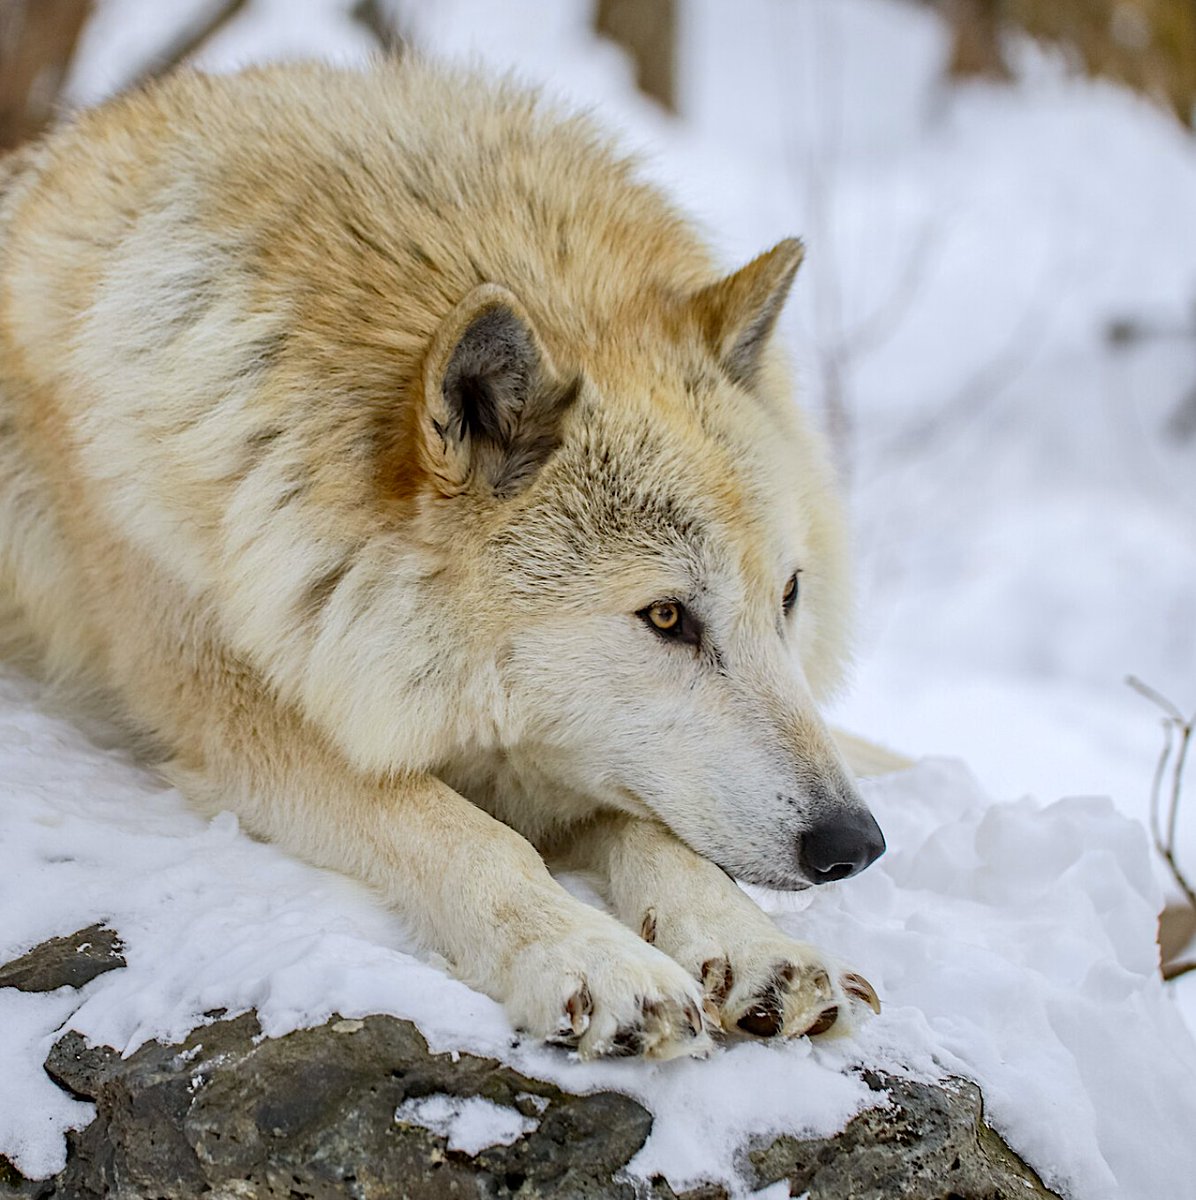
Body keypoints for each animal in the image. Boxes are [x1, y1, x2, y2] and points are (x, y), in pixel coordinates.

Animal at [0, 60, 889, 1059]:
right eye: (667, 617)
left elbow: (656, 834)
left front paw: (757, 948)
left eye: (789, 595)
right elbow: (465, 834)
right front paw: (592, 958)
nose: (855, 845)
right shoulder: (236, 712)